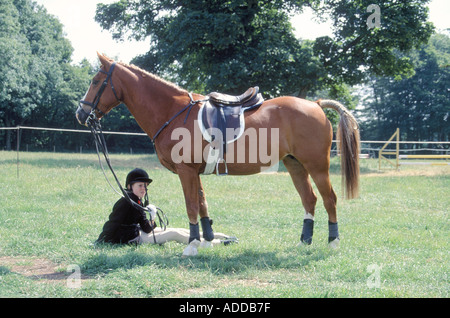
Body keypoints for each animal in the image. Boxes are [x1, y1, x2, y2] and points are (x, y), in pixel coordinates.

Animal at [75, 52, 360, 251]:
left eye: (96, 81)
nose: (80, 113)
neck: (172, 112)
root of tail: (316, 104)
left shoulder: (186, 171)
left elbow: (191, 205)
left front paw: (191, 246)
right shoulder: (195, 172)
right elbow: (202, 205)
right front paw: (206, 240)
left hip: (317, 165)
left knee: (329, 199)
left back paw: (333, 242)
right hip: (295, 164)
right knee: (309, 200)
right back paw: (304, 242)